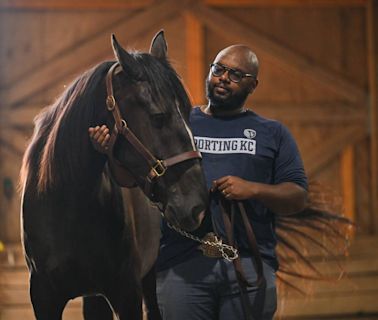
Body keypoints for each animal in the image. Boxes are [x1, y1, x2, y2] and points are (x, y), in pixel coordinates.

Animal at [19, 31, 208, 320]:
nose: (197, 206)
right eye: (158, 117)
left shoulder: (127, 292)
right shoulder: (43, 297)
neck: (66, 204)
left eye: (188, 112)